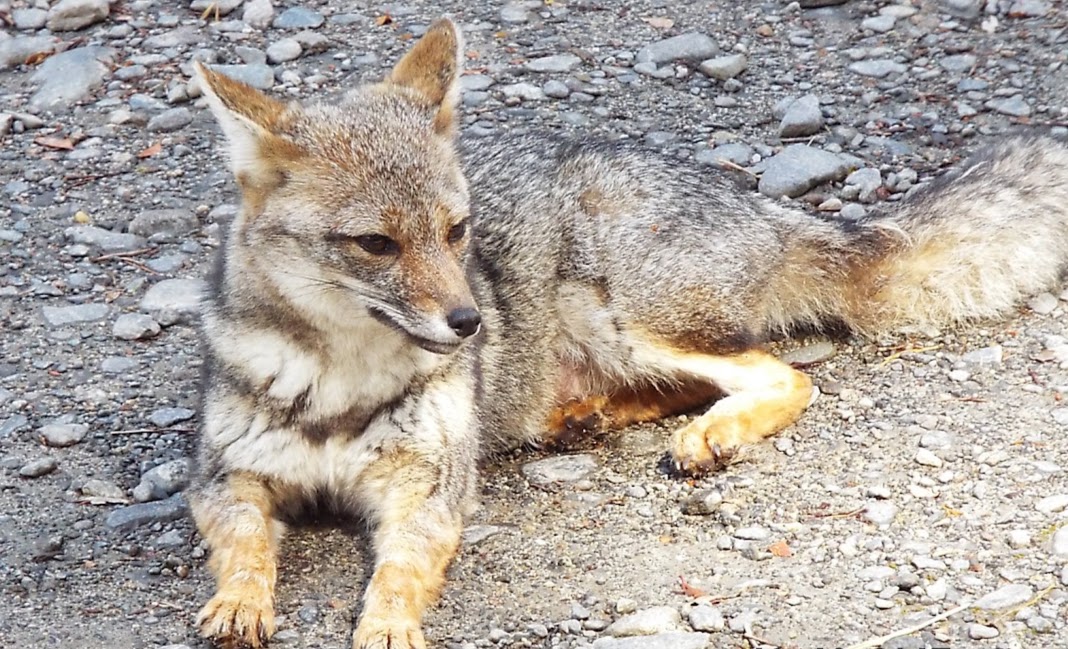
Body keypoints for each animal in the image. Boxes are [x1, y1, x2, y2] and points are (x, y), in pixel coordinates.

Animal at [187, 13, 1068, 649]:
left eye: (456, 231)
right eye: (377, 244)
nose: (472, 323)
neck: (340, 382)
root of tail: (762, 205)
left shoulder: (431, 490)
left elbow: (399, 571)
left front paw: (387, 625)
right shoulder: (224, 477)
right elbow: (243, 544)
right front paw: (238, 603)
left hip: (612, 310)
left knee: (783, 372)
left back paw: (709, 432)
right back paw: (589, 416)